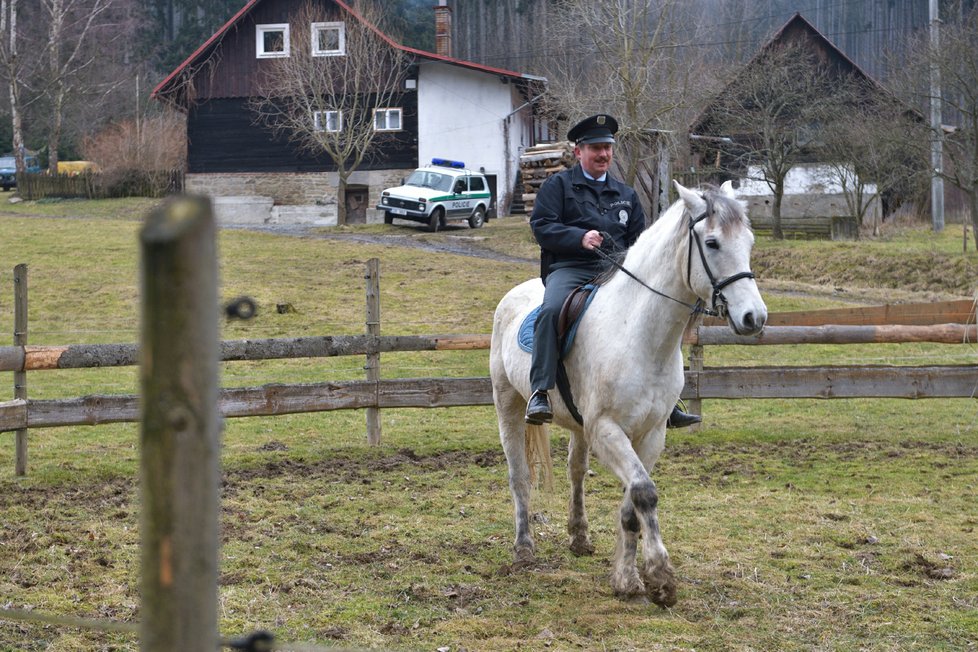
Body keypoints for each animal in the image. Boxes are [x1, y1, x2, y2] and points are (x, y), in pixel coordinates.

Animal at [488, 180, 764, 608]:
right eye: (713, 243)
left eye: (748, 241)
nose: (755, 318)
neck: (639, 334)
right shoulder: (608, 430)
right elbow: (645, 493)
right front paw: (660, 577)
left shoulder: (650, 434)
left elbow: (632, 503)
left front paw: (628, 579)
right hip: (509, 404)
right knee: (519, 476)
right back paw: (523, 549)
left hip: (579, 427)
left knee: (575, 471)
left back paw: (579, 537)